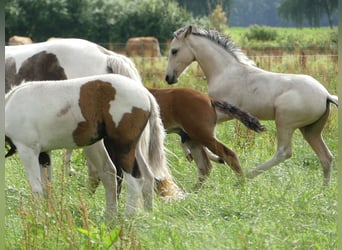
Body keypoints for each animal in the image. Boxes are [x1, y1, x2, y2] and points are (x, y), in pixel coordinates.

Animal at [4, 73, 162, 218]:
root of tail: (145, 93)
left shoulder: (28, 150)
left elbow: (36, 188)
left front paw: (38, 220)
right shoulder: (44, 153)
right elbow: (47, 186)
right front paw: (49, 216)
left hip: (122, 147)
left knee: (135, 182)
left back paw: (127, 219)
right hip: (132, 148)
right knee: (145, 178)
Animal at [164, 25, 338, 186]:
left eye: (174, 51)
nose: (168, 78)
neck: (225, 71)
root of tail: (326, 95)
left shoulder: (222, 113)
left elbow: (196, 137)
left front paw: (204, 156)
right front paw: (213, 157)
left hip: (285, 123)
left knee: (284, 152)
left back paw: (246, 177)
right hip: (310, 130)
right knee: (326, 157)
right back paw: (324, 190)